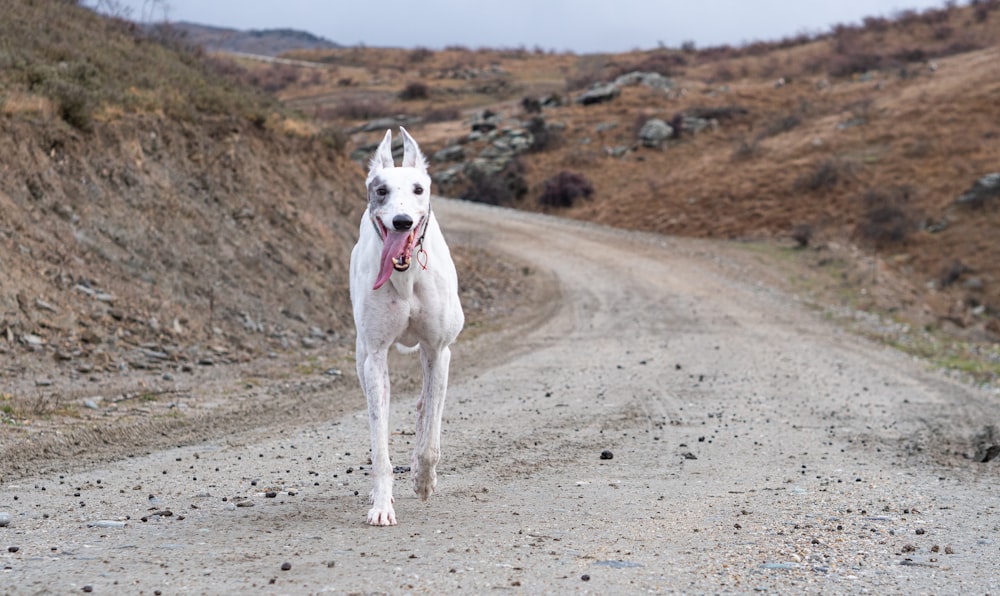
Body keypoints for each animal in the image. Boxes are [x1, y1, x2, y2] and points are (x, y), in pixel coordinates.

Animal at [348, 127, 464, 528]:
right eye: (381, 190)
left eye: (418, 189)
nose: (401, 222)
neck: (406, 273)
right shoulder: (376, 356)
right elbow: (379, 443)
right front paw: (382, 504)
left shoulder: (439, 351)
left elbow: (430, 438)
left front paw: (423, 480)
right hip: (361, 357)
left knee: (425, 405)